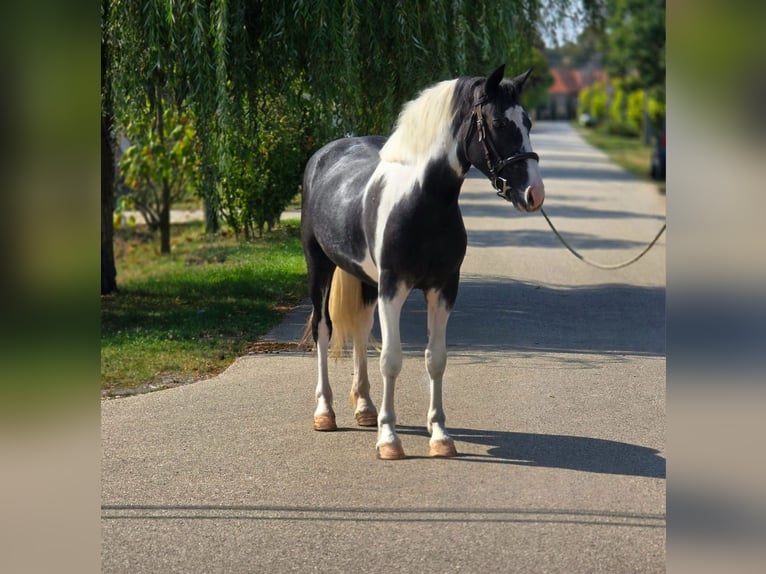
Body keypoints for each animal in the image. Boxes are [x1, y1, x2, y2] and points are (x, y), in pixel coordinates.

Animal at [300, 64, 545, 460]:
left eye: (527, 121)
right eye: (497, 122)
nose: (534, 194)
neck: (421, 201)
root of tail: (324, 154)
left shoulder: (443, 288)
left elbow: (436, 358)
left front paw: (440, 435)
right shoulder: (393, 288)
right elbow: (392, 358)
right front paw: (389, 438)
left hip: (365, 280)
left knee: (360, 329)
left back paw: (365, 408)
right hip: (319, 266)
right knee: (324, 330)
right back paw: (325, 412)